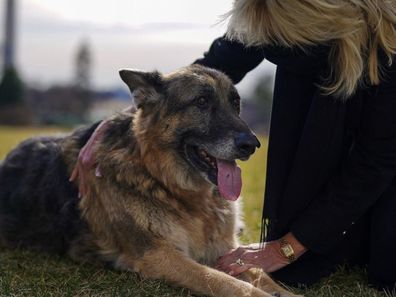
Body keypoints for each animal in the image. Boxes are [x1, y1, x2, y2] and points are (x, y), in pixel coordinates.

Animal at [0, 65, 298, 296]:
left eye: (235, 104)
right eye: (201, 102)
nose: (252, 145)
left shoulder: (227, 251)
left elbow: (260, 274)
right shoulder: (160, 255)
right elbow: (226, 282)